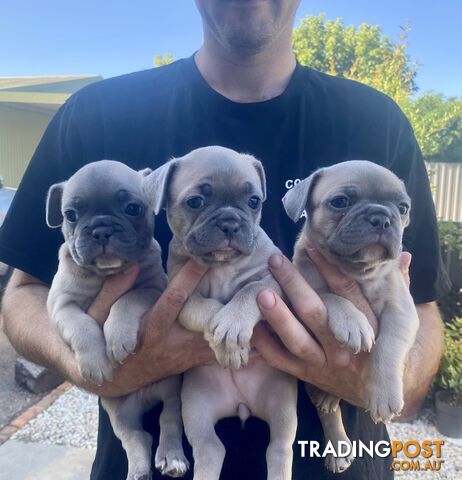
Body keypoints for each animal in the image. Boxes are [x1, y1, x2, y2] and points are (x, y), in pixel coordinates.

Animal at [46, 161, 189, 480]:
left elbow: (126, 301)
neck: (106, 274)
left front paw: (118, 339)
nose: (101, 230)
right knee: (137, 437)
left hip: (171, 389)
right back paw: (139, 471)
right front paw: (96, 361)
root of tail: (145, 396)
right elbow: (82, 325)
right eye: (70, 215)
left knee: (168, 420)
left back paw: (171, 458)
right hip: (119, 413)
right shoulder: (61, 304)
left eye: (133, 208)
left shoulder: (152, 288)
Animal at [143, 146, 298, 480]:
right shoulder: (180, 295)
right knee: (210, 449)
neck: (223, 266)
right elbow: (204, 307)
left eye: (253, 201)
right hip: (197, 408)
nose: (230, 222)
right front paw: (224, 335)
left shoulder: (274, 282)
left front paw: (232, 327)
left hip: (282, 407)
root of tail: (241, 403)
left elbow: (250, 290)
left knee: (279, 447)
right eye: (195, 202)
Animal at [284, 160, 420, 472]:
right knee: (327, 413)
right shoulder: (299, 295)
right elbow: (329, 297)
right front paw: (353, 322)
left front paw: (384, 394)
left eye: (402, 208)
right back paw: (337, 446)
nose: (381, 217)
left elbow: (388, 345)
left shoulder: (402, 311)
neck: (356, 271)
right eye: (340, 202)